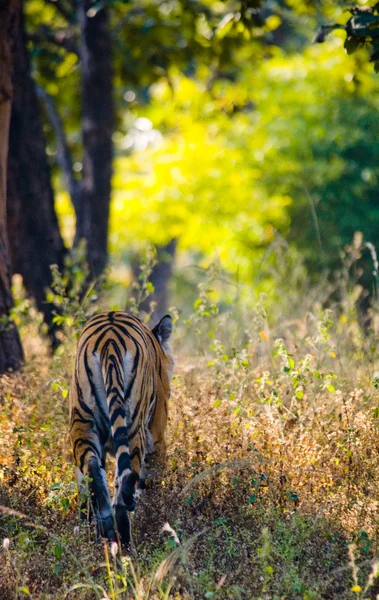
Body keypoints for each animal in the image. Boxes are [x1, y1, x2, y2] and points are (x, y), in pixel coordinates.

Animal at [69, 312, 174, 548]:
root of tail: (109, 340)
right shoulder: (157, 438)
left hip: (82, 421)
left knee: (92, 467)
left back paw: (105, 528)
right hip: (134, 428)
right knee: (122, 491)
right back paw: (126, 544)